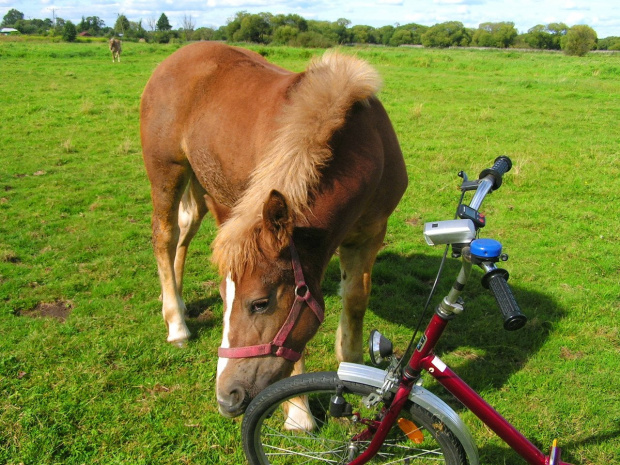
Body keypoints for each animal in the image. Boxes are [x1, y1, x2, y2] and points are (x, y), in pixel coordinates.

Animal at [143, 41, 410, 416]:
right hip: (167, 171)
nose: (226, 397)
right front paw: (298, 412)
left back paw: (178, 304)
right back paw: (177, 326)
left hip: (201, 184)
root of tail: (175, 58)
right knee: (164, 237)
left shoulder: (369, 236)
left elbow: (355, 302)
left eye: (260, 303)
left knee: (185, 229)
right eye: (224, 298)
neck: (365, 145)